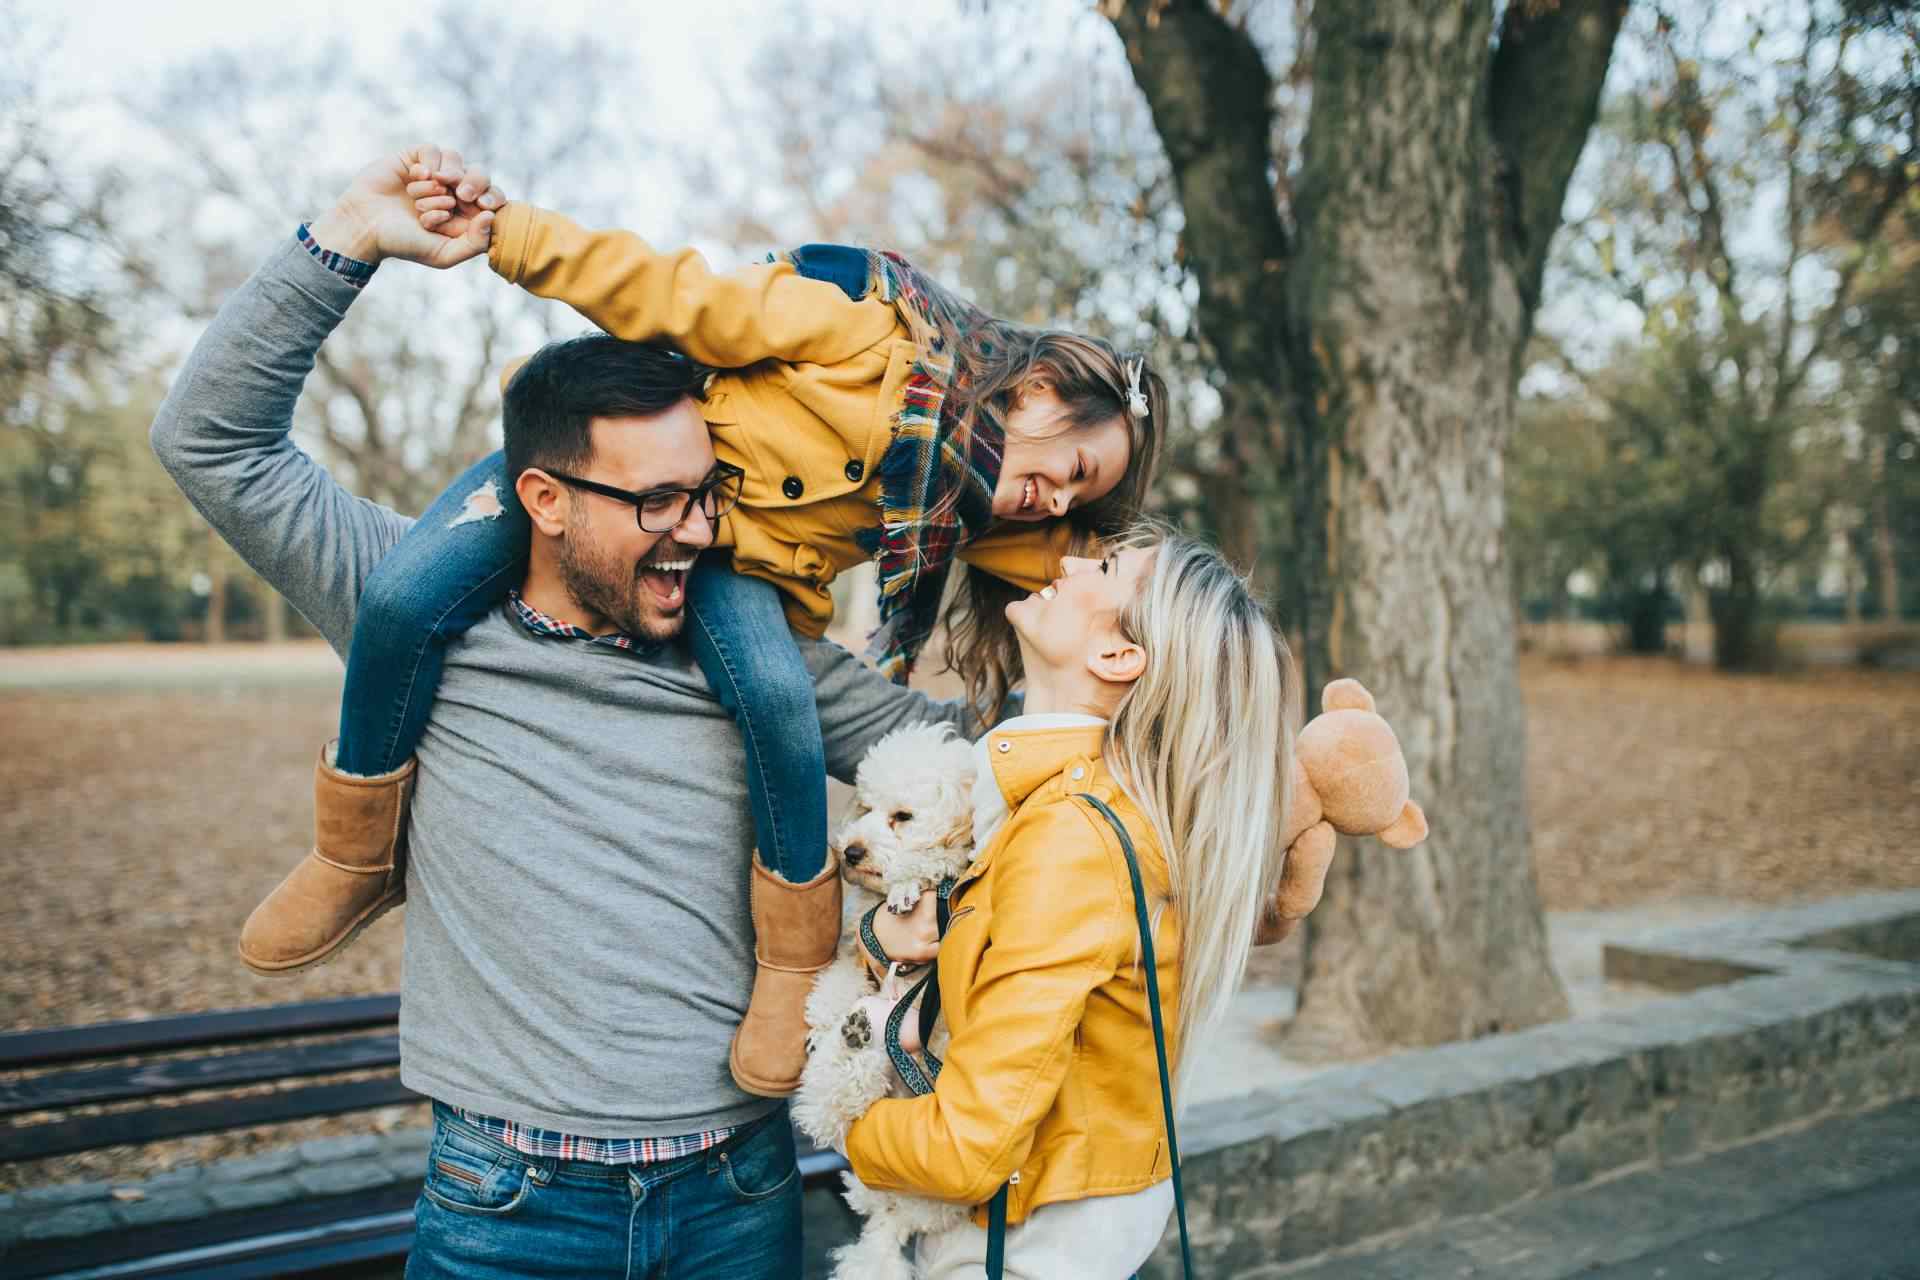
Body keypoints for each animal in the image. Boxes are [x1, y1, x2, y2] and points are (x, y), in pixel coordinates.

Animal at [791, 725, 975, 1280]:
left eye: (902, 816)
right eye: (866, 807)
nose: (850, 851)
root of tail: (893, 1219)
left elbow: (937, 862)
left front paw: (909, 880)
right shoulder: (857, 952)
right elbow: (835, 982)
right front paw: (824, 1015)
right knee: (832, 1105)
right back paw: (851, 1038)